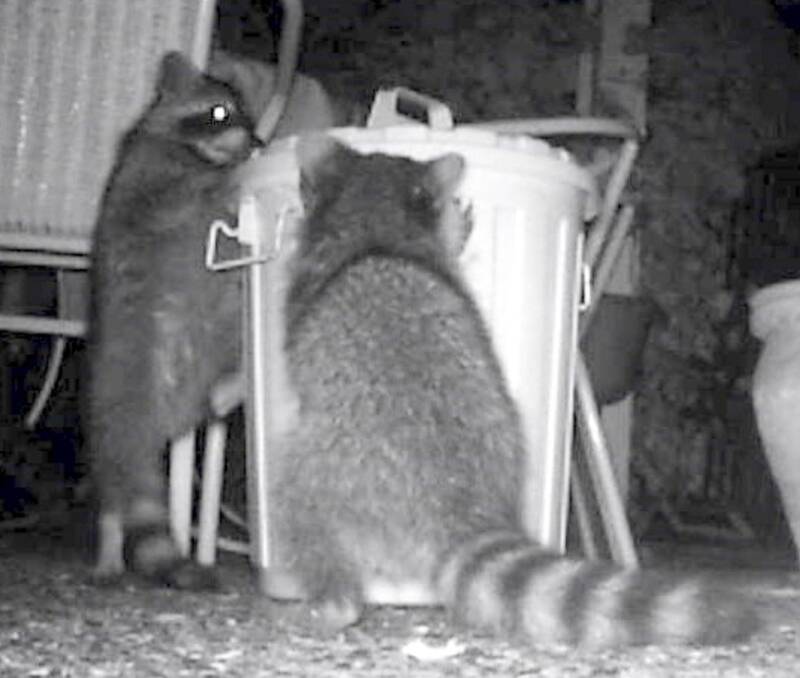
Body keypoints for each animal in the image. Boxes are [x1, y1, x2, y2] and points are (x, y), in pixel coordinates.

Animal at [87, 51, 261, 588]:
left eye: (249, 113)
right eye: (221, 112)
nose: (258, 142)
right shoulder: (150, 181)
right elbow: (189, 194)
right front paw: (237, 174)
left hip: (215, 342)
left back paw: (232, 388)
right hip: (124, 384)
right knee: (115, 489)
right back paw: (109, 540)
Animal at [266, 137, 758, 647]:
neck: (374, 217)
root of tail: (461, 501)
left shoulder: (308, 285)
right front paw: (458, 226)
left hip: (325, 470)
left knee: (296, 499)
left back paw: (332, 602)